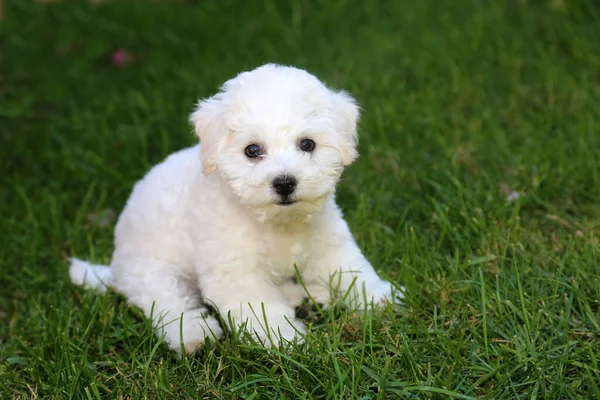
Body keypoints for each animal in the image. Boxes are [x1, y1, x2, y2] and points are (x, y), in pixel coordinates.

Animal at [69, 64, 398, 354]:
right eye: (252, 150)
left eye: (307, 144)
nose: (285, 183)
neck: (276, 222)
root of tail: (114, 270)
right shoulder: (236, 274)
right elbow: (263, 310)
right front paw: (287, 340)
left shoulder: (330, 246)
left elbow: (355, 272)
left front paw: (381, 301)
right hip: (151, 271)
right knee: (169, 303)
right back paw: (194, 335)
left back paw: (308, 298)